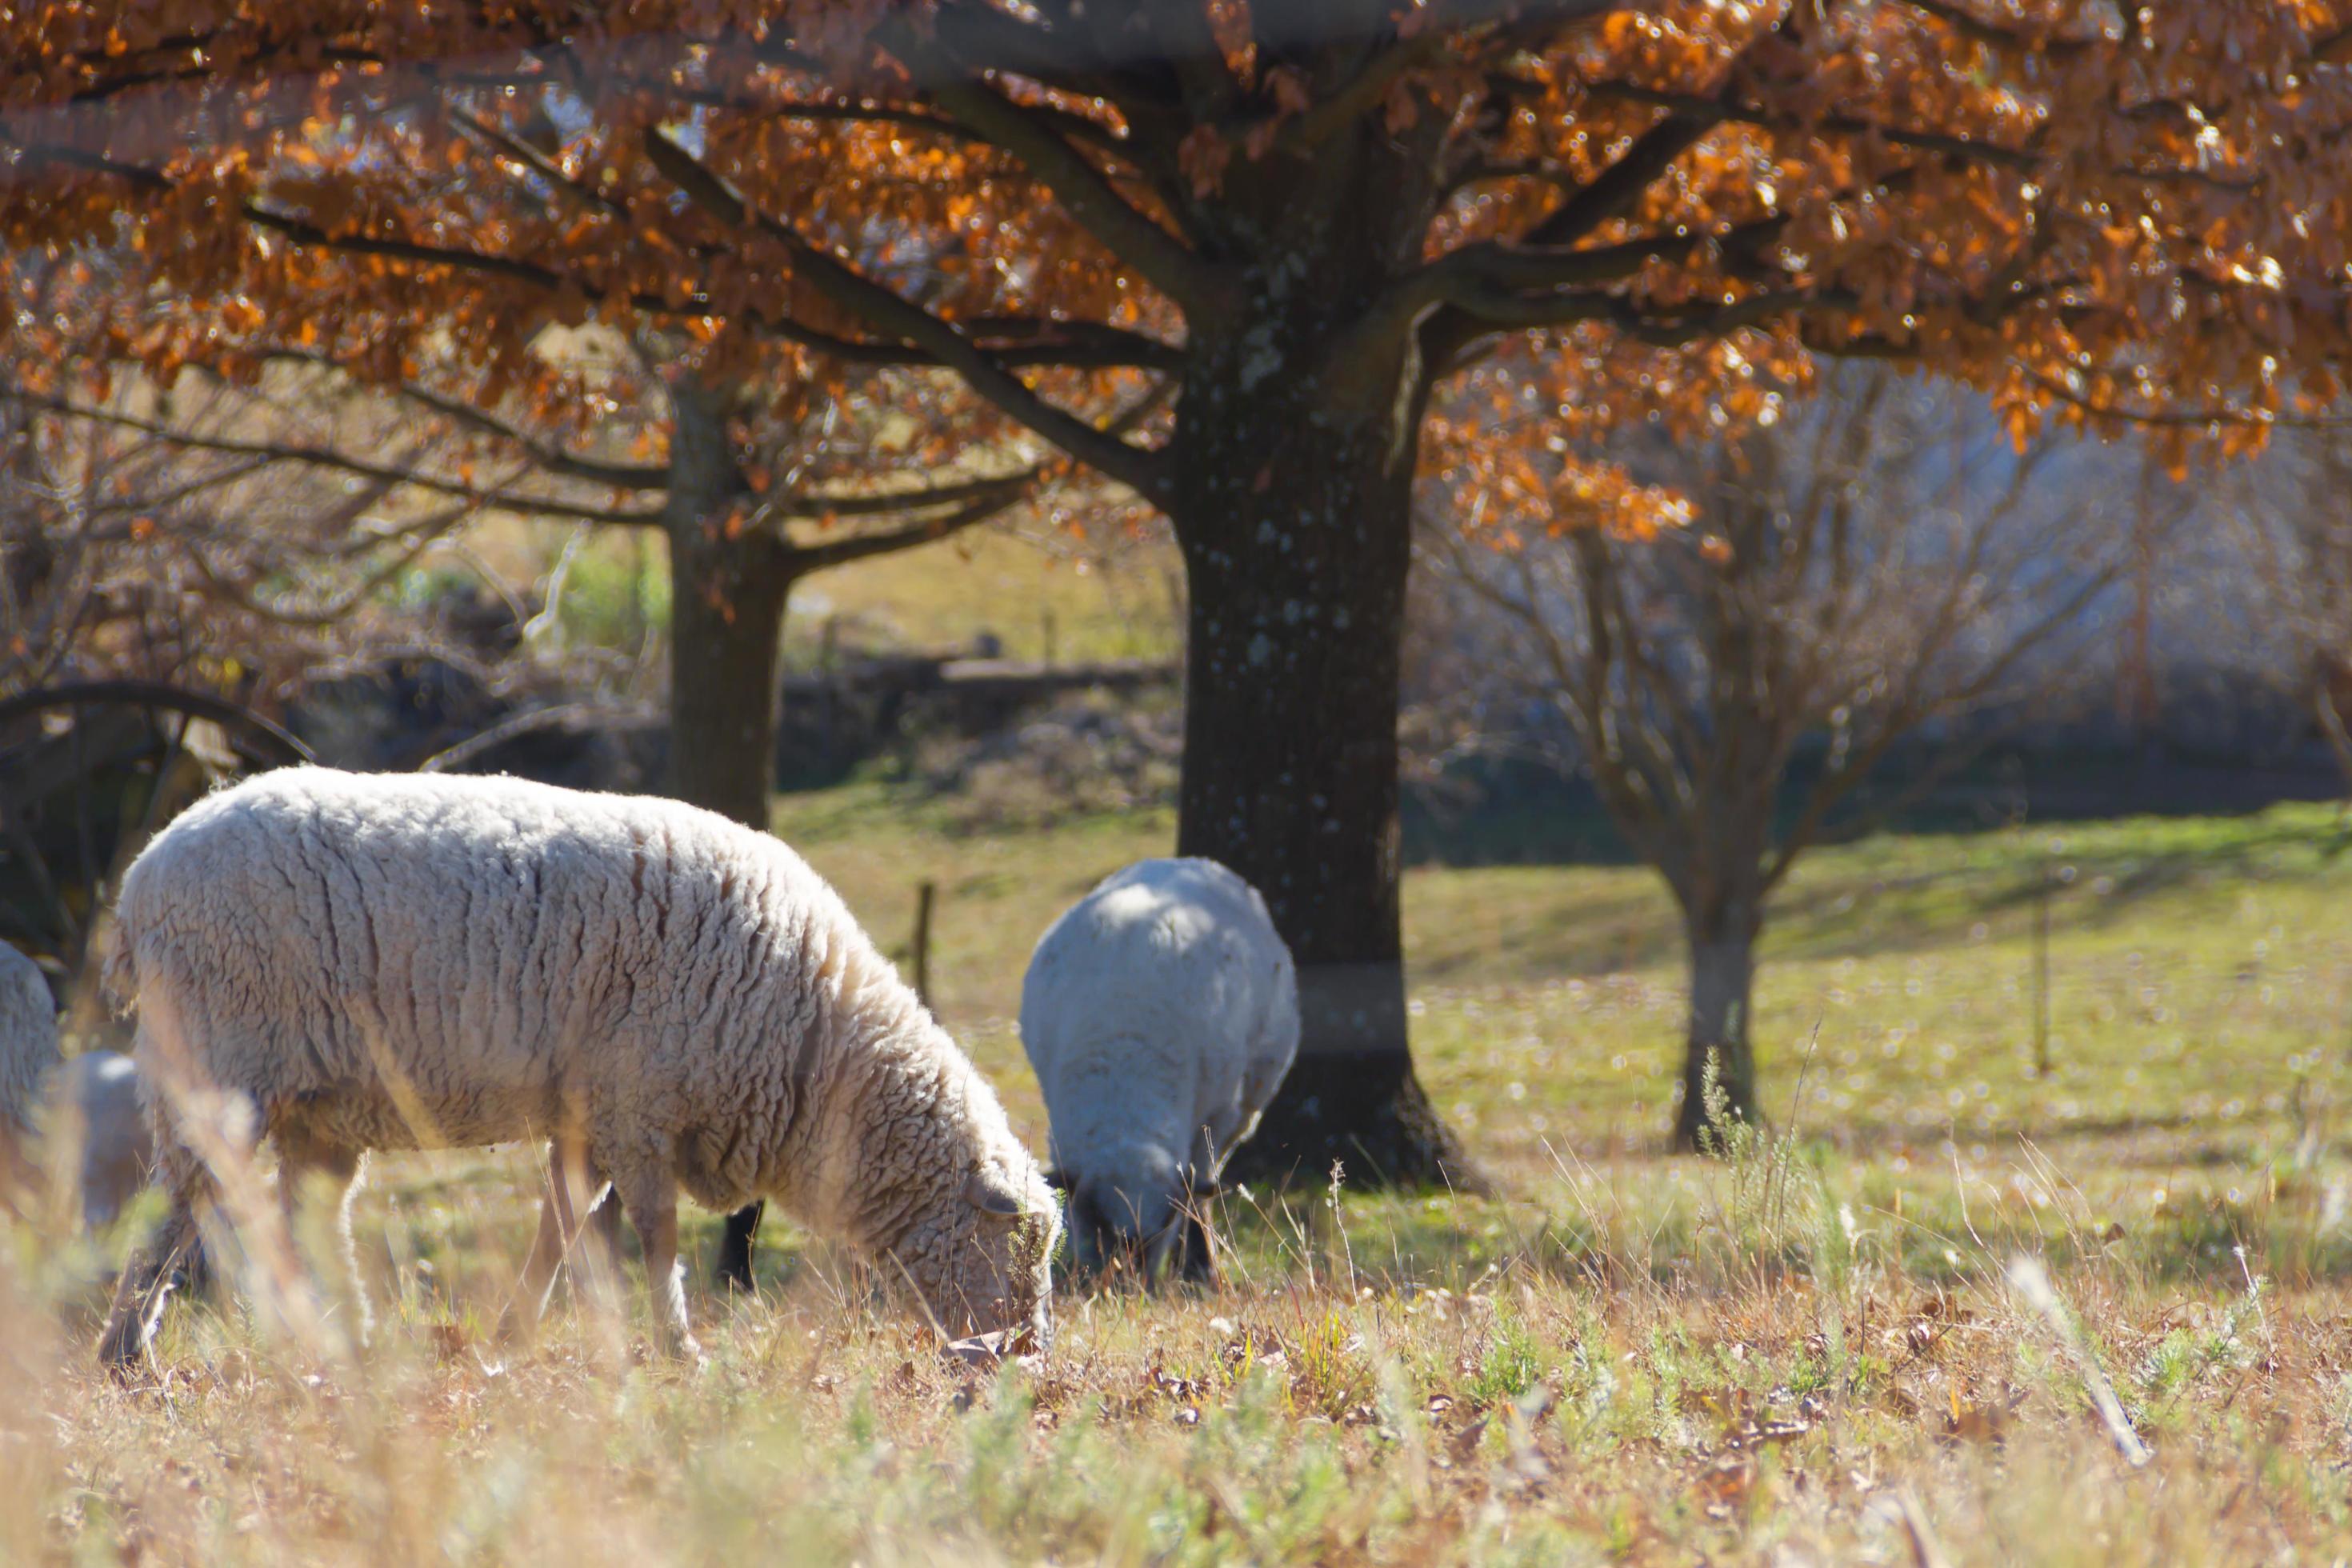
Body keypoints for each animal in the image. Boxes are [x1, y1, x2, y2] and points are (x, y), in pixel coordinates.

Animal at [96, 766, 1062, 1363]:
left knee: (309, 1219)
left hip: (317, 1104)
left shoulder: (593, 1119)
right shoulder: (639, 1107)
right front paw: (680, 1348)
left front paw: (511, 1337)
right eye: (1018, 1252)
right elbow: (656, 1236)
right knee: (180, 1205)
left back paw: (343, 1341)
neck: (816, 1050)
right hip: (220, 1063)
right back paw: (129, 1352)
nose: (1029, 1359)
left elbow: (558, 1228)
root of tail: (140, 882)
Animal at [1016, 860, 1298, 1288]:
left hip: (1248, 1103)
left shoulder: (1216, 1119)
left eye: (1163, 1223)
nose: (1126, 1287)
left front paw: (1200, 1272)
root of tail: (1190, 862)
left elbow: (1198, 1196)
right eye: (1095, 1219)